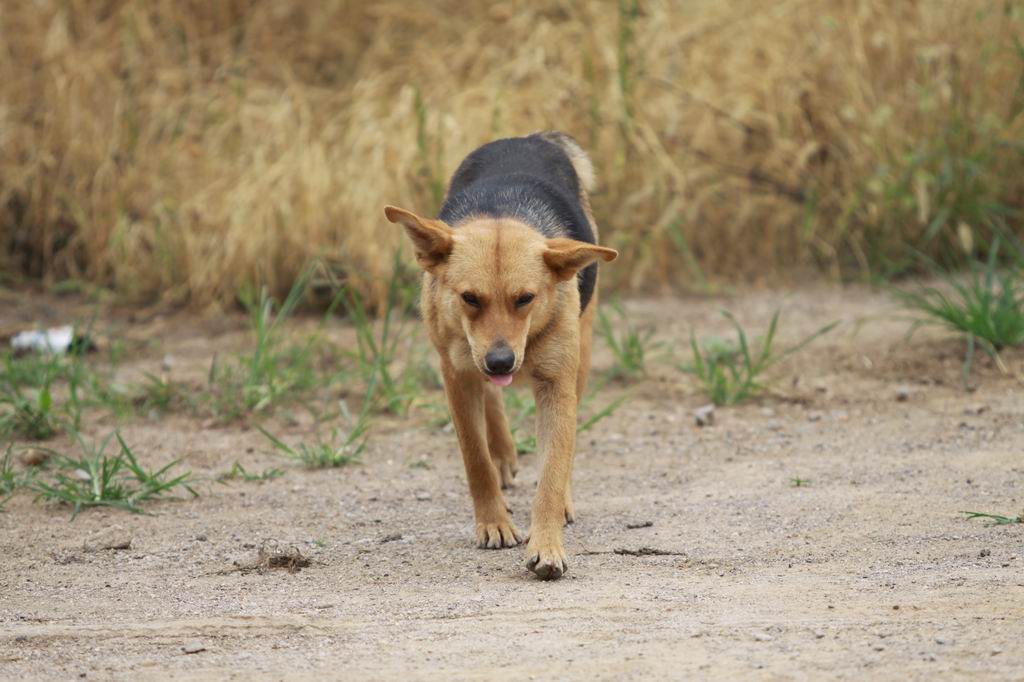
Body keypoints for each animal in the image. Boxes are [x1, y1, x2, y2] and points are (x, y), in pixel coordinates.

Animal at [380, 130, 610, 577]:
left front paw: (547, 544)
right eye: (470, 298)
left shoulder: (556, 384)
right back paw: (503, 453)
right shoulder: (457, 375)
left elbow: (552, 470)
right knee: (489, 399)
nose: (502, 362)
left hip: (582, 355)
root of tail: (529, 136)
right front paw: (494, 523)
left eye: (526, 299)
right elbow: (476, 459)